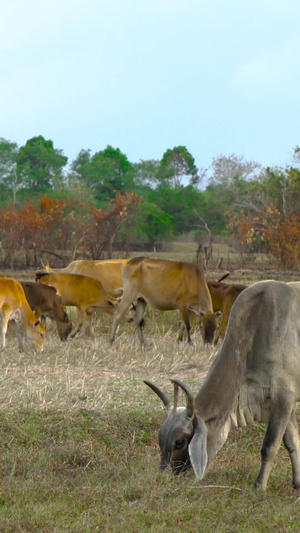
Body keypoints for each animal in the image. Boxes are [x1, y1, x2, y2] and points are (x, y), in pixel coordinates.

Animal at [145, 278, 300, 490]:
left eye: (180, 442)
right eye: (161, 439)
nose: (167, 475)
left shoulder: (284, 395)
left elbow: (269, 446)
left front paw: (259, 486)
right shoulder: (276, 401)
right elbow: (293, 443)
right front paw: (297, 483)